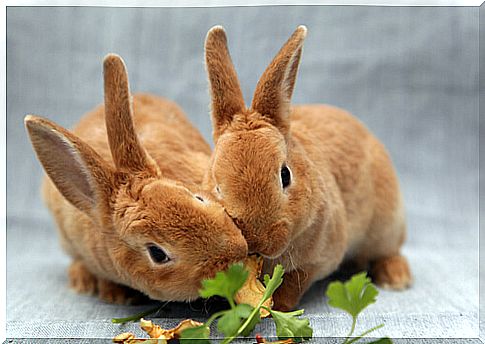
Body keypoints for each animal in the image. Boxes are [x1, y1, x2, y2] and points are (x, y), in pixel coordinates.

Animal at [202, 26, 410, 312]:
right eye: (217, 186)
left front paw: (278, 306)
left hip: (385, 226)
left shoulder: (317, 260)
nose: (256, 240)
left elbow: (294, 283)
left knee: (389, 251)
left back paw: (396, 278)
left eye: (285, 175)